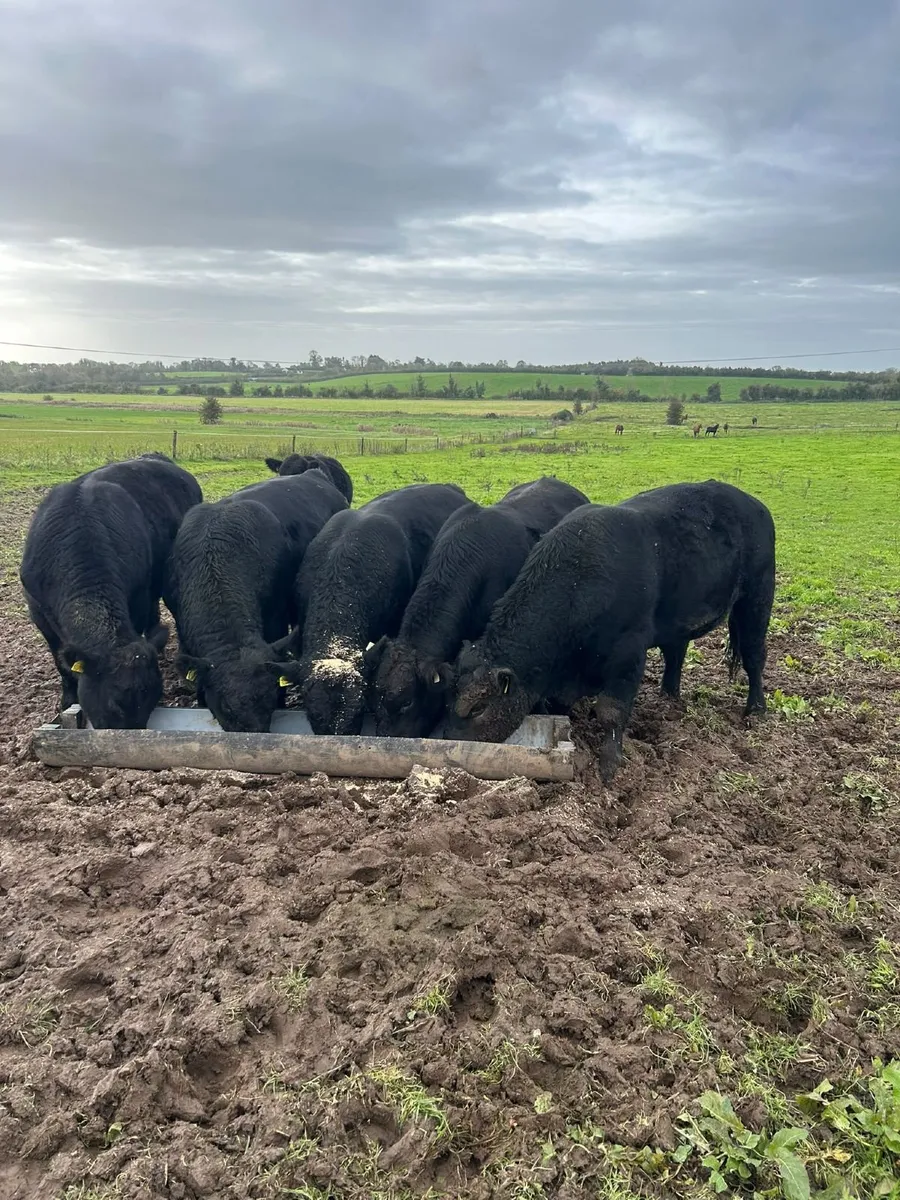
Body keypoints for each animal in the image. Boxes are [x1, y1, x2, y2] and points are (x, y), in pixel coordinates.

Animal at [20, 454, 202, 729]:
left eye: (153, 701)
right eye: (115, 705)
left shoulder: (137, 598)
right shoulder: (38, 612)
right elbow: (61, 664)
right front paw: (67, 700)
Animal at [443, 480, 776, 782]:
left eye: (477, 707)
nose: (447, 742)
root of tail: (751, 501)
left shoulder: (629, 653)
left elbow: (611, 711)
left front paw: (609, 764)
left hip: (757, 597)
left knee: (754, 655)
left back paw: (755, 708)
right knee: (676, 653)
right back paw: (669, 696)